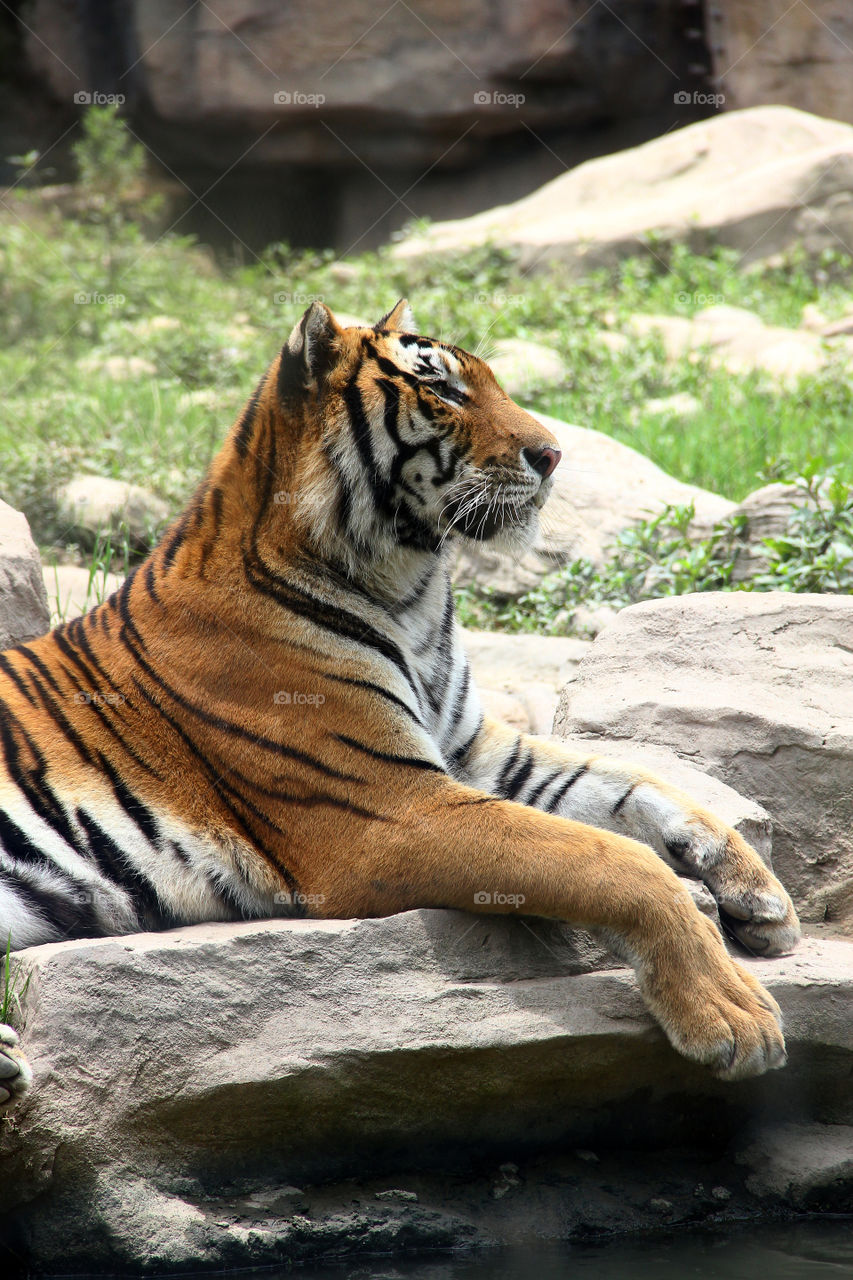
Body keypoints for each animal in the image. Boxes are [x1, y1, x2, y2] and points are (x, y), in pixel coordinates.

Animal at [0, 296, 799, 1111]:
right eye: (442, 391)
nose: (552, 456)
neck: (410, 584)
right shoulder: (389, 810)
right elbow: (611, 860)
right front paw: (731, 1014)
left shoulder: (475, 750)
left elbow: (634, 786)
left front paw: (760, 895)